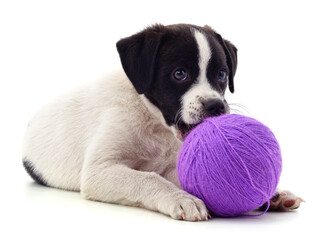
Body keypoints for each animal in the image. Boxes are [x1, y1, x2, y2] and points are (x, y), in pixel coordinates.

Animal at [22, 24, 302, 221]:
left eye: (221, 75)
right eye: (180, 74)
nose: (216, 106)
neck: (154, 122)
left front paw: (272, 194)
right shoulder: (98, 171)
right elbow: (148, 179)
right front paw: (181, 199)